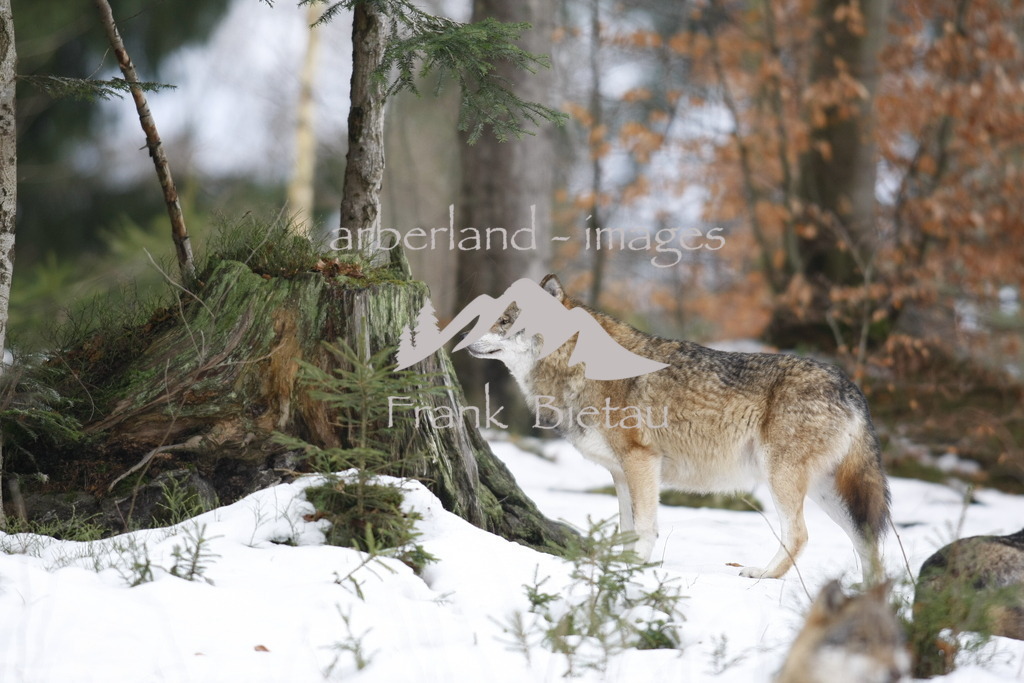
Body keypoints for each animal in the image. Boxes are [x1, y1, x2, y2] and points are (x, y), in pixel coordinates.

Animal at [465, 274, 891, 581]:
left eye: (506, 321)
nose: (466, 341)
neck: (577, 364)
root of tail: (850, 386)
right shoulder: (620, 473)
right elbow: (626, 527)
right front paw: (620, 567)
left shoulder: (641, 461)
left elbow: (645, 527)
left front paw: (636, 570)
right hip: (825, 491)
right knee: (867, 540)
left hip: (782, 478)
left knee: (801, 534)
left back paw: (764, 574)